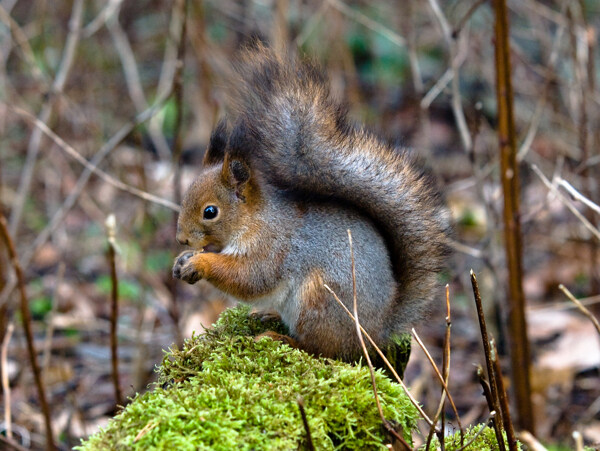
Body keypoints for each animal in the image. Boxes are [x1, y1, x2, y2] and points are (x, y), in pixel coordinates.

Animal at [172, 45, 450, 364]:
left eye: (210, 212)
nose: (181, 239)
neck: (254, 220)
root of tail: (377, 330)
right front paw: (182, 261)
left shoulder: (273, 249)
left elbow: (249, 278)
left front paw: (200, 262)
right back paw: (269, 316)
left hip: (320, 301)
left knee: (323, 350)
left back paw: (281, 338)